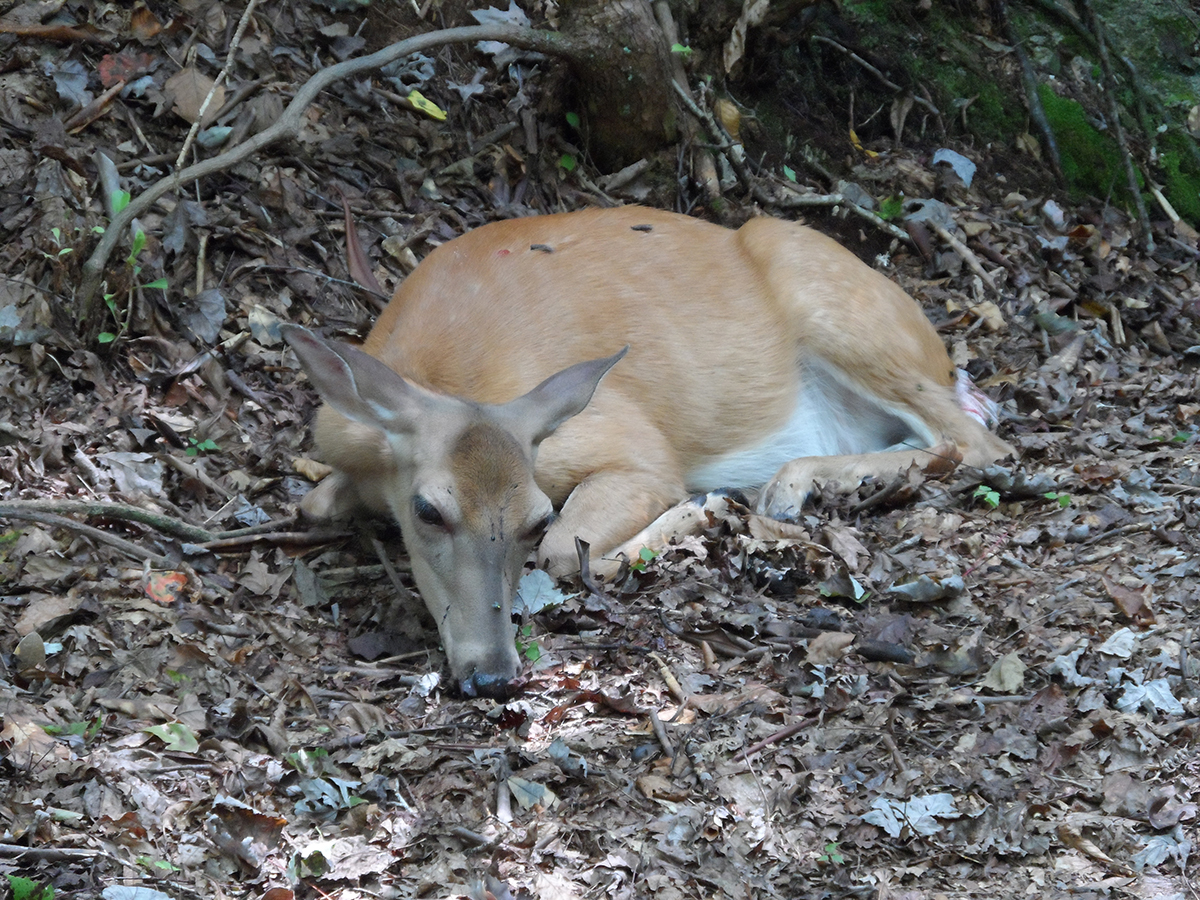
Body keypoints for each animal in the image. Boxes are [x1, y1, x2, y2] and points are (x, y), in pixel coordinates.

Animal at [283, 204, 1012, 696]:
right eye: (428, 511)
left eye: (534, 518)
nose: (491, 673)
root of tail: (939, 348)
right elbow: (313, 503)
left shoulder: (628, 442)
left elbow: (566, 548)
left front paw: (702, 511)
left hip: (836, 307)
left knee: (979, 440)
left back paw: (788, 485)